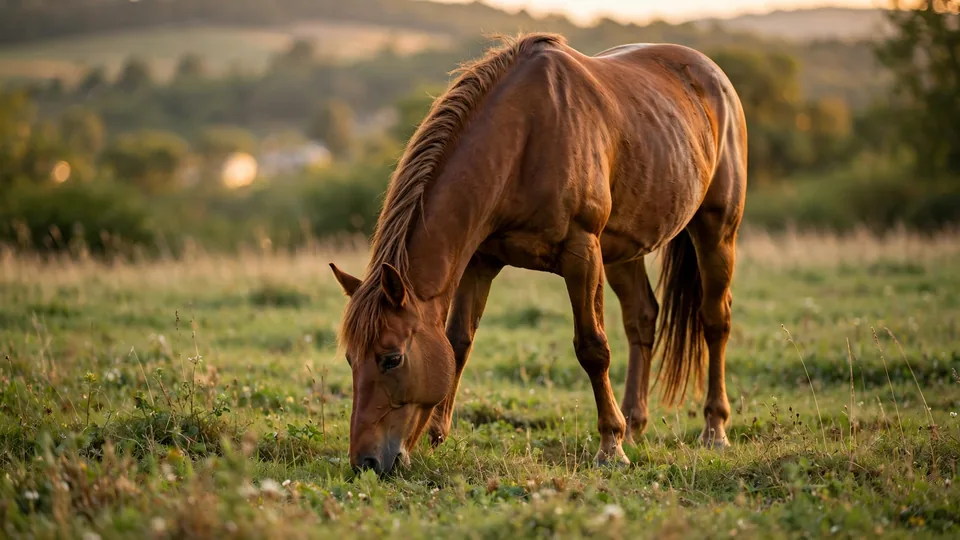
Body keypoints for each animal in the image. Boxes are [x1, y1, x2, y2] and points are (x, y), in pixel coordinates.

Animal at [329, 32, 747, 475]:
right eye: (351, 360)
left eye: (391, 358)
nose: (365, 462)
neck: (525, 137)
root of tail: (711, 74)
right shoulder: (480, 262)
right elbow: (458, 342)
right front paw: (438, 437)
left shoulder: (582, 254)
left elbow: (593, 348)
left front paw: (610, 447)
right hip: (624, 249)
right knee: (642, 319)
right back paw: (635, 426)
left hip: (716, 231)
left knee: (715, 320)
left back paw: (713, 430)